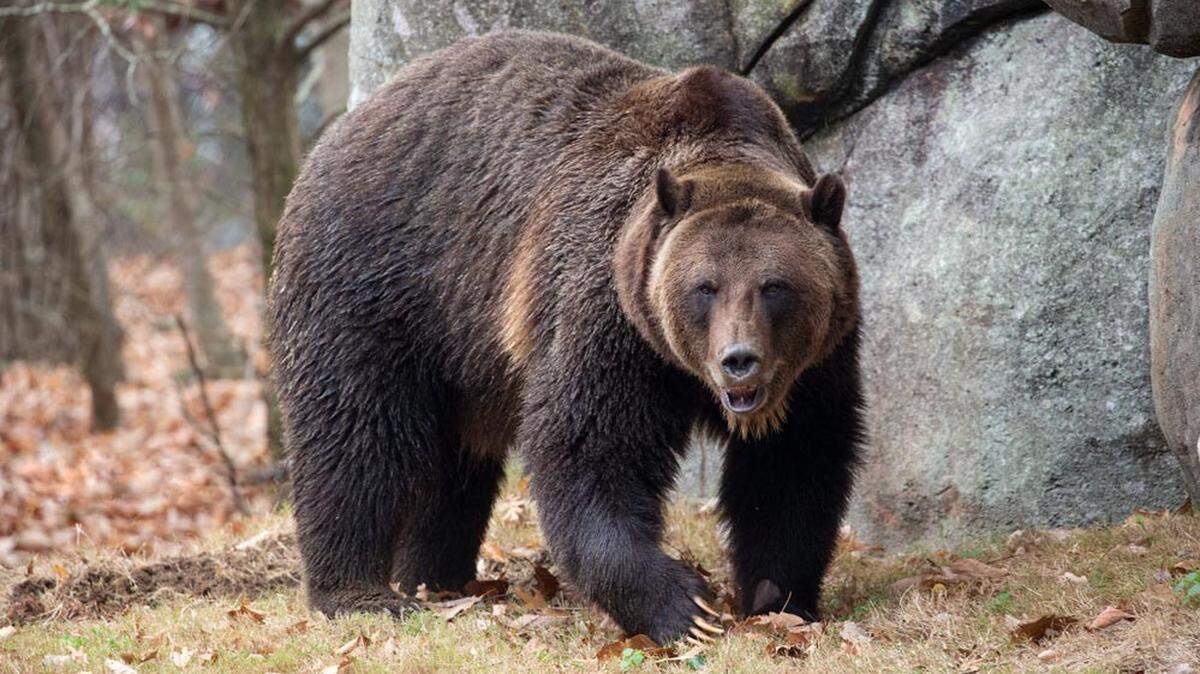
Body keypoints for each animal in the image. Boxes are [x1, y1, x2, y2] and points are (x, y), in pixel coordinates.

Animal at [268, 29, 863, 644]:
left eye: (775, 286)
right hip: (381, 280)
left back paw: (435, 577)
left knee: (452, 464)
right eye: (705, 287)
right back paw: (360, 594)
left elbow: (795, 462)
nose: (738, 360)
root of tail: (343, 127)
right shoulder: (606, 311)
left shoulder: (818, 362)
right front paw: (684, 608)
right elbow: (588, 448)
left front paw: (778, 599)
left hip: (464, 351)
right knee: (355, 434)